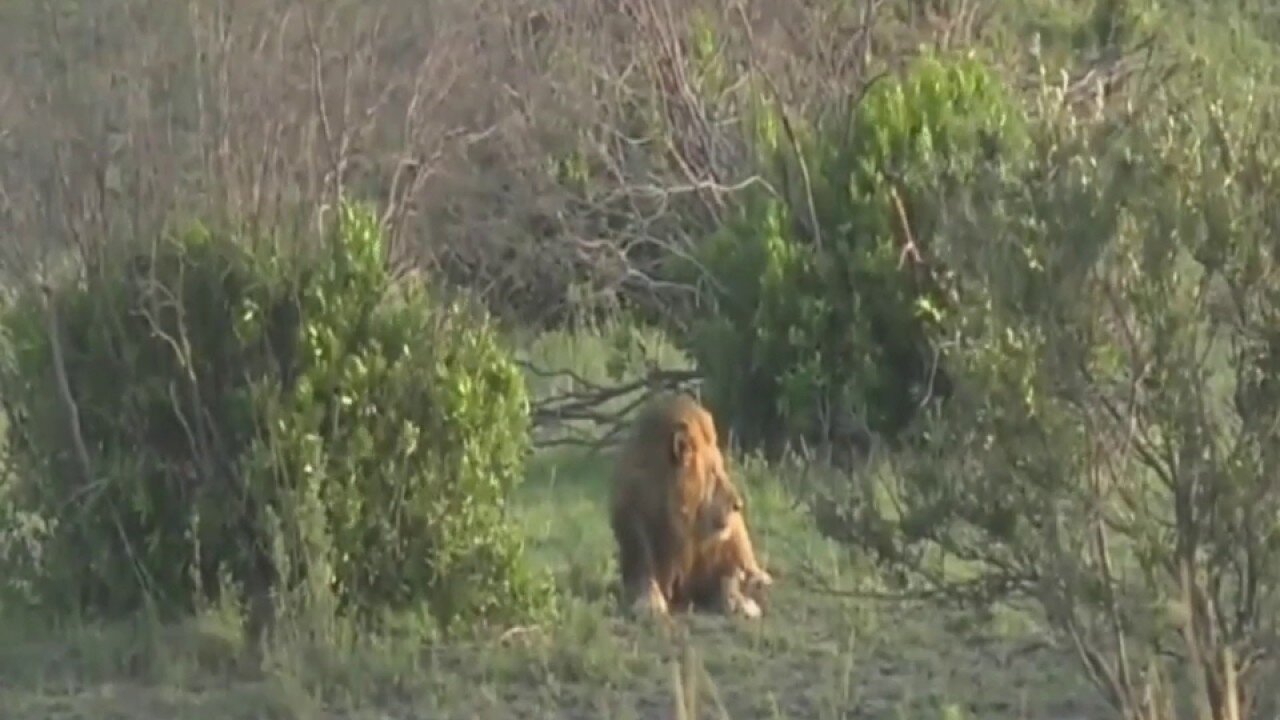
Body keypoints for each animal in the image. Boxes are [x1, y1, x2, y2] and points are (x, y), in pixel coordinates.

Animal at [606, 389, 747, 614]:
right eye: (713, 474)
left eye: (722, 470)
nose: (738, 505)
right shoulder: (636, 545)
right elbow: (645, 579)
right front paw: (650, 603)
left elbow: (728, 579)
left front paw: (739, 602)